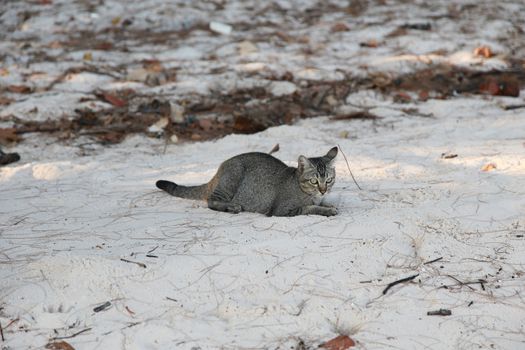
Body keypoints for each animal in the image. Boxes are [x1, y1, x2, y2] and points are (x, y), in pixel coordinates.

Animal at [155, 146, 340, 216]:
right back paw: (231, 207)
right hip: (232, 178)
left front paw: (328, 204)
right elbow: (309, 208)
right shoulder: (282, 210)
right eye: (314, 181)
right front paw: (326, 210)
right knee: (210, 201)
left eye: (329, 180)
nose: (323, 190)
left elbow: (320, 203)